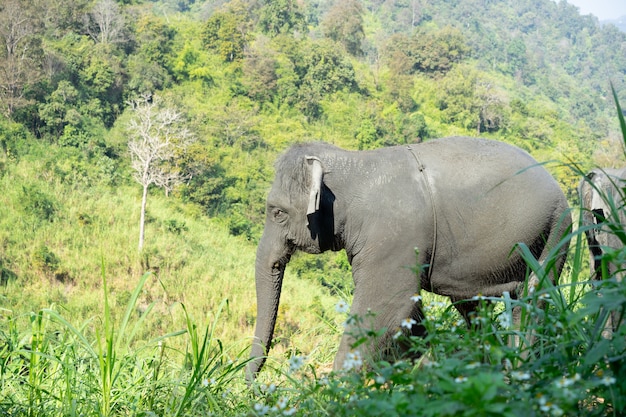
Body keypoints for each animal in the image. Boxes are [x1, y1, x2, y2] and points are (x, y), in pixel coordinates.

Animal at [244, 136, 572, 380]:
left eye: (277, 212)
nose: (254, 385)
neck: (355, 163)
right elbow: (409, 315)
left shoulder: (394, 236)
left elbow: (387, 309)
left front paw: (336, 390)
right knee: (477, 307)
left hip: (555, 230)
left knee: (534, 298)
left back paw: (521, 371)